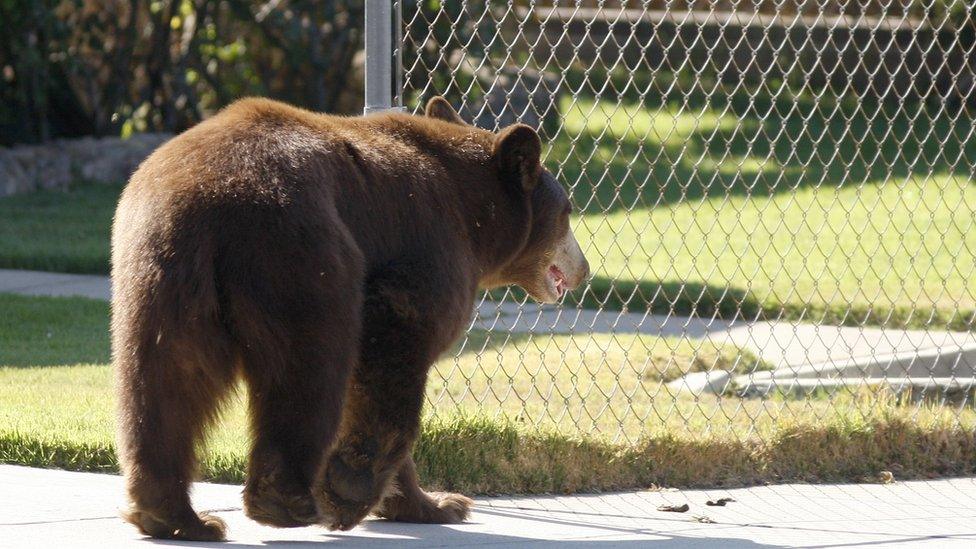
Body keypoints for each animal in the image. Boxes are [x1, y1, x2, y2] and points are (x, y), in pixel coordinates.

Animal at [110, 95, 592, 540]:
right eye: (568, 211)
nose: (584, 269)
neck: (475, 218)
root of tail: (207, 197)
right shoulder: (427, 250)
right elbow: (393, 351)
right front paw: (353, 489)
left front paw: (437, 503)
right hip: (299, 253)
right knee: (310, 365)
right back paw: (287, 501)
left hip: (160, 275)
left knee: (166, 382)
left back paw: (176, 517)